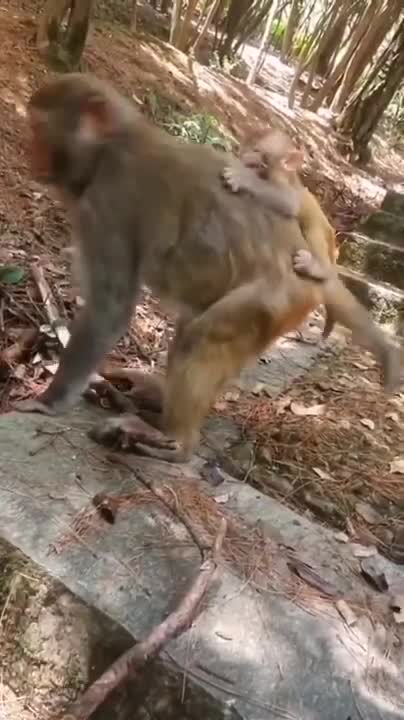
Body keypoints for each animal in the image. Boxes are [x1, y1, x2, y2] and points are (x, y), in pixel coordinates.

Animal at [221, 128, 338, 338]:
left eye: (258, 151)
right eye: (246, 146)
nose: (244, 156)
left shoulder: (282, 181)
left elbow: (289, 201)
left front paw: (243, 178)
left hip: (325, 240)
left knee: (314, 229)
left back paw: (317, 267)